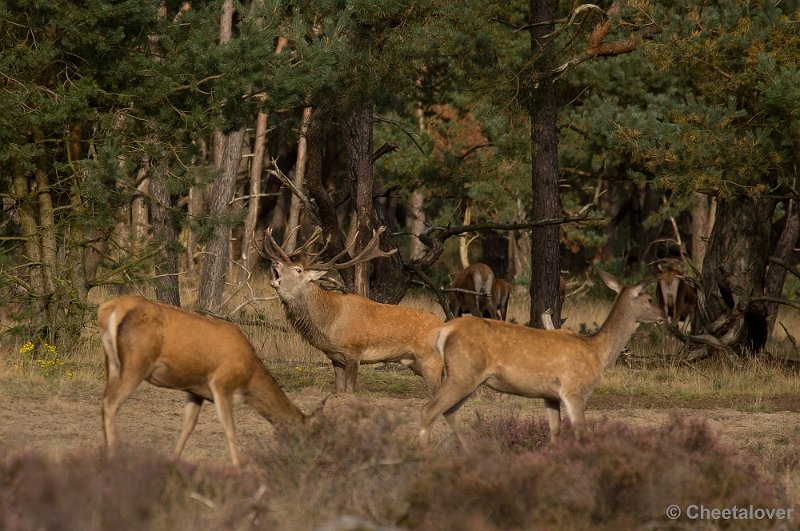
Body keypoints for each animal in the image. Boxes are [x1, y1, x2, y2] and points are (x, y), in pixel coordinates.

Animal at [97, 298, 304, 468]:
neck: (249, 379)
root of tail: (109, 309)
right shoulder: (221, 383)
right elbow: (229, 428)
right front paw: (237, 466)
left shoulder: (195, 390)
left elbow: (188, 427)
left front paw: (174, 459)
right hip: (137, 362)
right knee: (111, 403)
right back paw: (113, 457)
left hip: (112, 363)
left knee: (104, 401)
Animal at [268, 227, 444, 392]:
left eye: (298, 269)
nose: (274, 262)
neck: (331, 323)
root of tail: (444, 324)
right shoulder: (336, 357)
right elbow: (339, 390)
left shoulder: (354, 351)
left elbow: (349, 390)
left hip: (430, 360)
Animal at [416, 270, 664, 448]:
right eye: (650, 299)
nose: (663, 315)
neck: (597, 351)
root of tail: (444, 331)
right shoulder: (574, 389)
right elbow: (582, 432)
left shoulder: (550, 395)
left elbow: (555, 431)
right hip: (463, 373)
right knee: (429, 409)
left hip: (466, 377)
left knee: (448, 411)